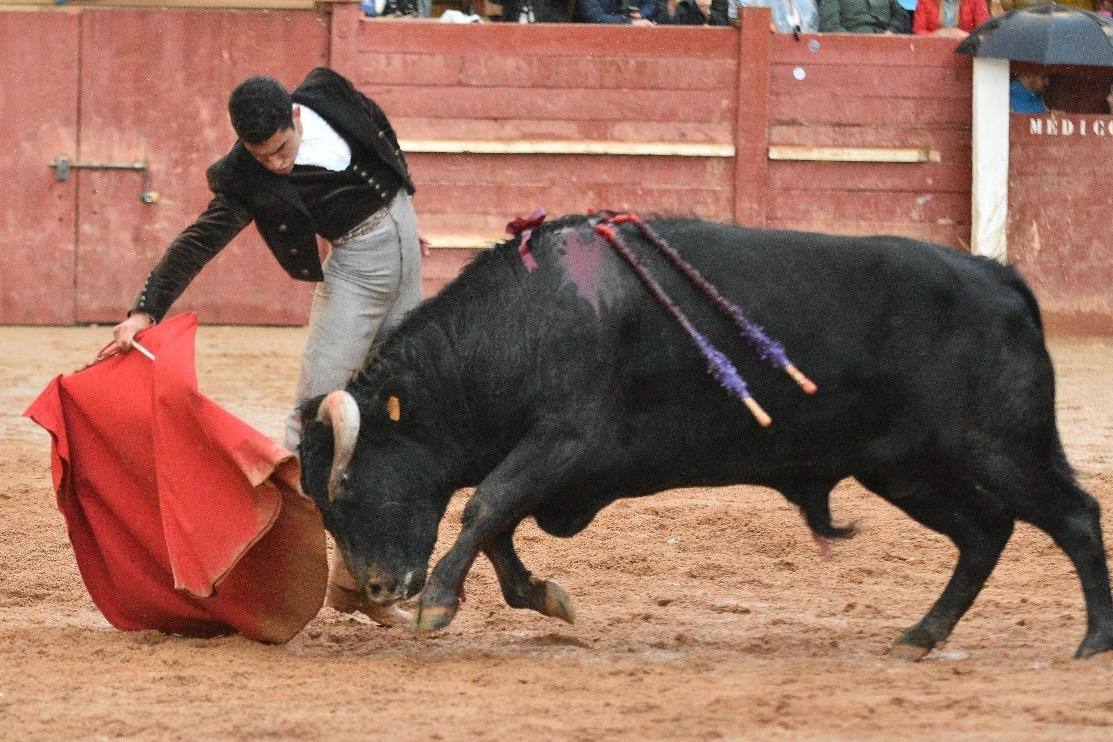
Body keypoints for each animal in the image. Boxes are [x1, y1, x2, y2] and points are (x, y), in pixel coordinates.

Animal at [296, 214, 1113, 663]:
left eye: (352, 485)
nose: (376, 589)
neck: (525, 321)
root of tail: (997, 277)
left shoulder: (565, 441)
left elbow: (484, 506)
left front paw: (438, 604)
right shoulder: (551, 465)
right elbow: (496, 524)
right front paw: (543, 597)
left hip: (1000, 445)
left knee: (1072, 516)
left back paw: (1092, 642)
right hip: (906, 469)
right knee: (983, 531)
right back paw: (922, 633)